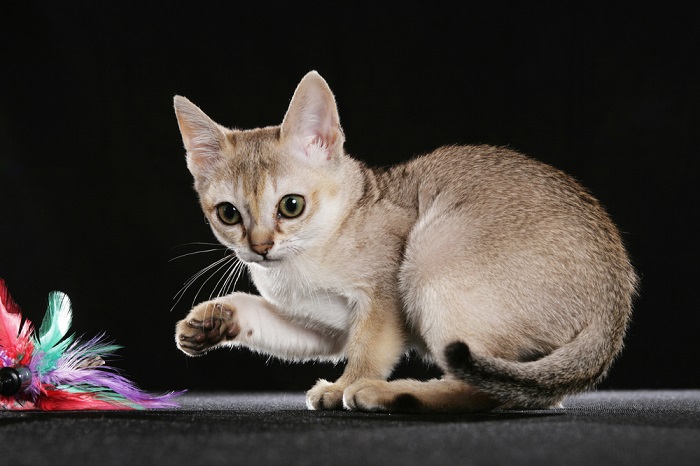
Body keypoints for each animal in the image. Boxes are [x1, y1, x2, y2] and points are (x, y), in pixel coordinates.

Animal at [172, 69, 636, 412]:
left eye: (291, 206)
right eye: (228, 214)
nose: (260, 247)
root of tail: (613, 308)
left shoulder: (382, 298)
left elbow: (368, 350)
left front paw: (346, 383)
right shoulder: (324, 328)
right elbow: (273, 319)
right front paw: (214, 319)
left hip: (429, 257)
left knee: (479, 390)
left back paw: (392, 393)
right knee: (522, 392)